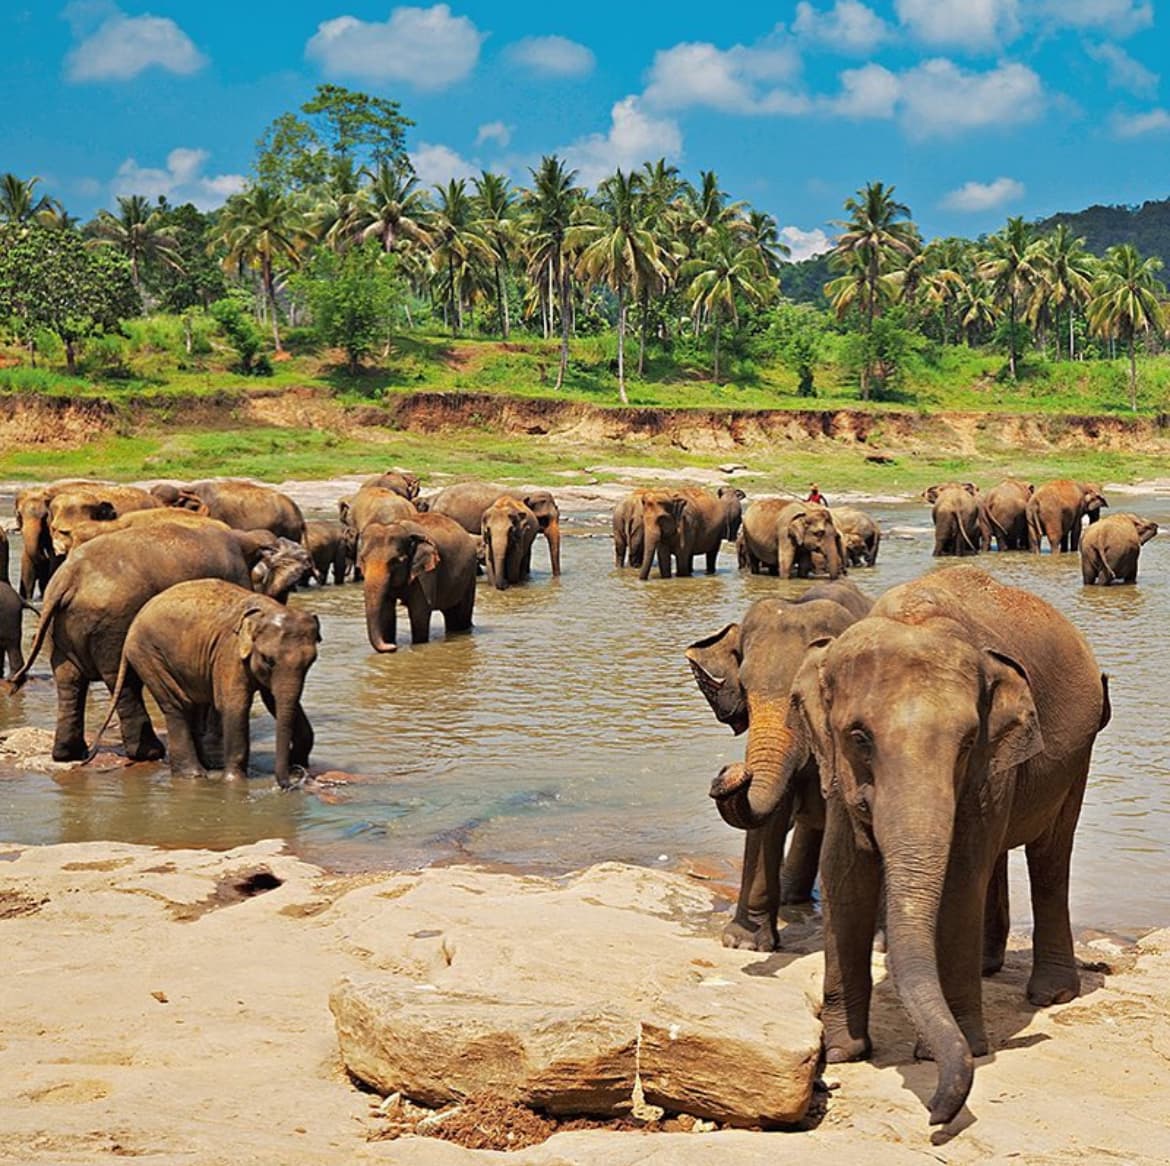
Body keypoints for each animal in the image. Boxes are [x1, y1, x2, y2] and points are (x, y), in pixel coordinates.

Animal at [7, 523, 313, 762]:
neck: (245, 538)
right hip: (113, 622)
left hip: (61, 626)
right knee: (122, 679)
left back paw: (68, 754)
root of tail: (68, 578)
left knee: (69, 679)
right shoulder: (234, 578)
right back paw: (149, 753)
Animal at [89, 580, 320, 787]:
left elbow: (274, 700)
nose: (288, 784)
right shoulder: (229, 653)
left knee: (192, 705)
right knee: (177, 705)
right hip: (147, 655)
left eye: (312, 661)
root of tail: (134, 622)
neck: (267, 610)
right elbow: (234, 706)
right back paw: (194, 776)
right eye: (268, 660)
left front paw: (298, 763)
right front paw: (234, 783)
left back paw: (206, 767)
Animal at [360, 513, 478, 652]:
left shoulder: (426, 574)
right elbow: (386, 612)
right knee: (451, 615)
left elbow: (419, 612)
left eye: (396, 562)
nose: (393, 646)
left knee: (462, 615)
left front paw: (418, 645)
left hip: (470, 575)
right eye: (362, 559)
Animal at [687, 579, 873, 952]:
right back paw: (791, 899)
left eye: (802, 698)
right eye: (744, 688)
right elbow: (769, 819)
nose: (731, 769)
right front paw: (743, 943)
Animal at [712, 565, 1110, 1126]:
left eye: (967, 742)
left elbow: (961, 874)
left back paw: (1051, 994)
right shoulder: (840, 767)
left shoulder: (988, 764)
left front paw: (965, 1046)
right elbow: (846, 872)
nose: (937, 1114)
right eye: (859, 737)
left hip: (1079, 754)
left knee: (1050, 856)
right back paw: (990, 967)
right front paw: (844, 1050)